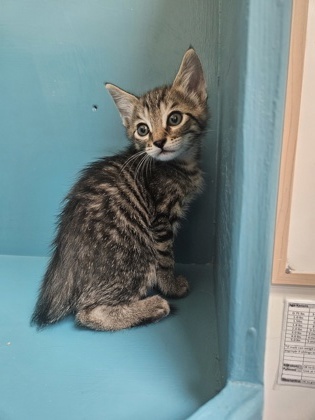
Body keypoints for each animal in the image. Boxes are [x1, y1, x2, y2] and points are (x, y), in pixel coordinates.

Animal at [32, 48, 209, 332]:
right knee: (86, 313)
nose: (158, 142)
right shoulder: (161, 219)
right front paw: (171, 286)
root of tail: (64, 260)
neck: (180, 164)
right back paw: (153, 306)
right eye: (143, 129)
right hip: (136, 253)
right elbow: (166, 257)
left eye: (175, 118)